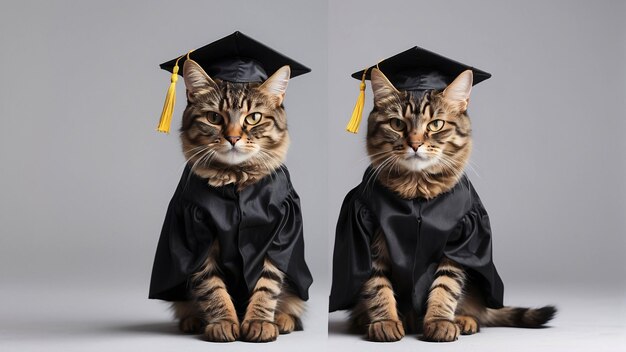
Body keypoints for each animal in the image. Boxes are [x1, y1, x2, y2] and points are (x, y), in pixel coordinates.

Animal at [171, 59, 304, 340]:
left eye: (253, 118)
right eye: (214, 118)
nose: (233, 138)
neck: (236, 180)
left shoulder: (279, 234)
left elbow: (267, 286)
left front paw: (259, 322)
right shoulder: (196, 232)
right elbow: (212, 289)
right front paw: (223, 322)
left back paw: (283, 320)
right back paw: (193, 321)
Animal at [352, 68, 556, 340]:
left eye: (435, 125)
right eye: (397, 124)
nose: (414, 144)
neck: (416, 191)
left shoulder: (461, 239)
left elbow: (445, 286)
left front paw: (439, 321)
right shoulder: (368, 235)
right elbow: (378, 286)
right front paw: (385, 321)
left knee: (475, 310)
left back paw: (464, 320)